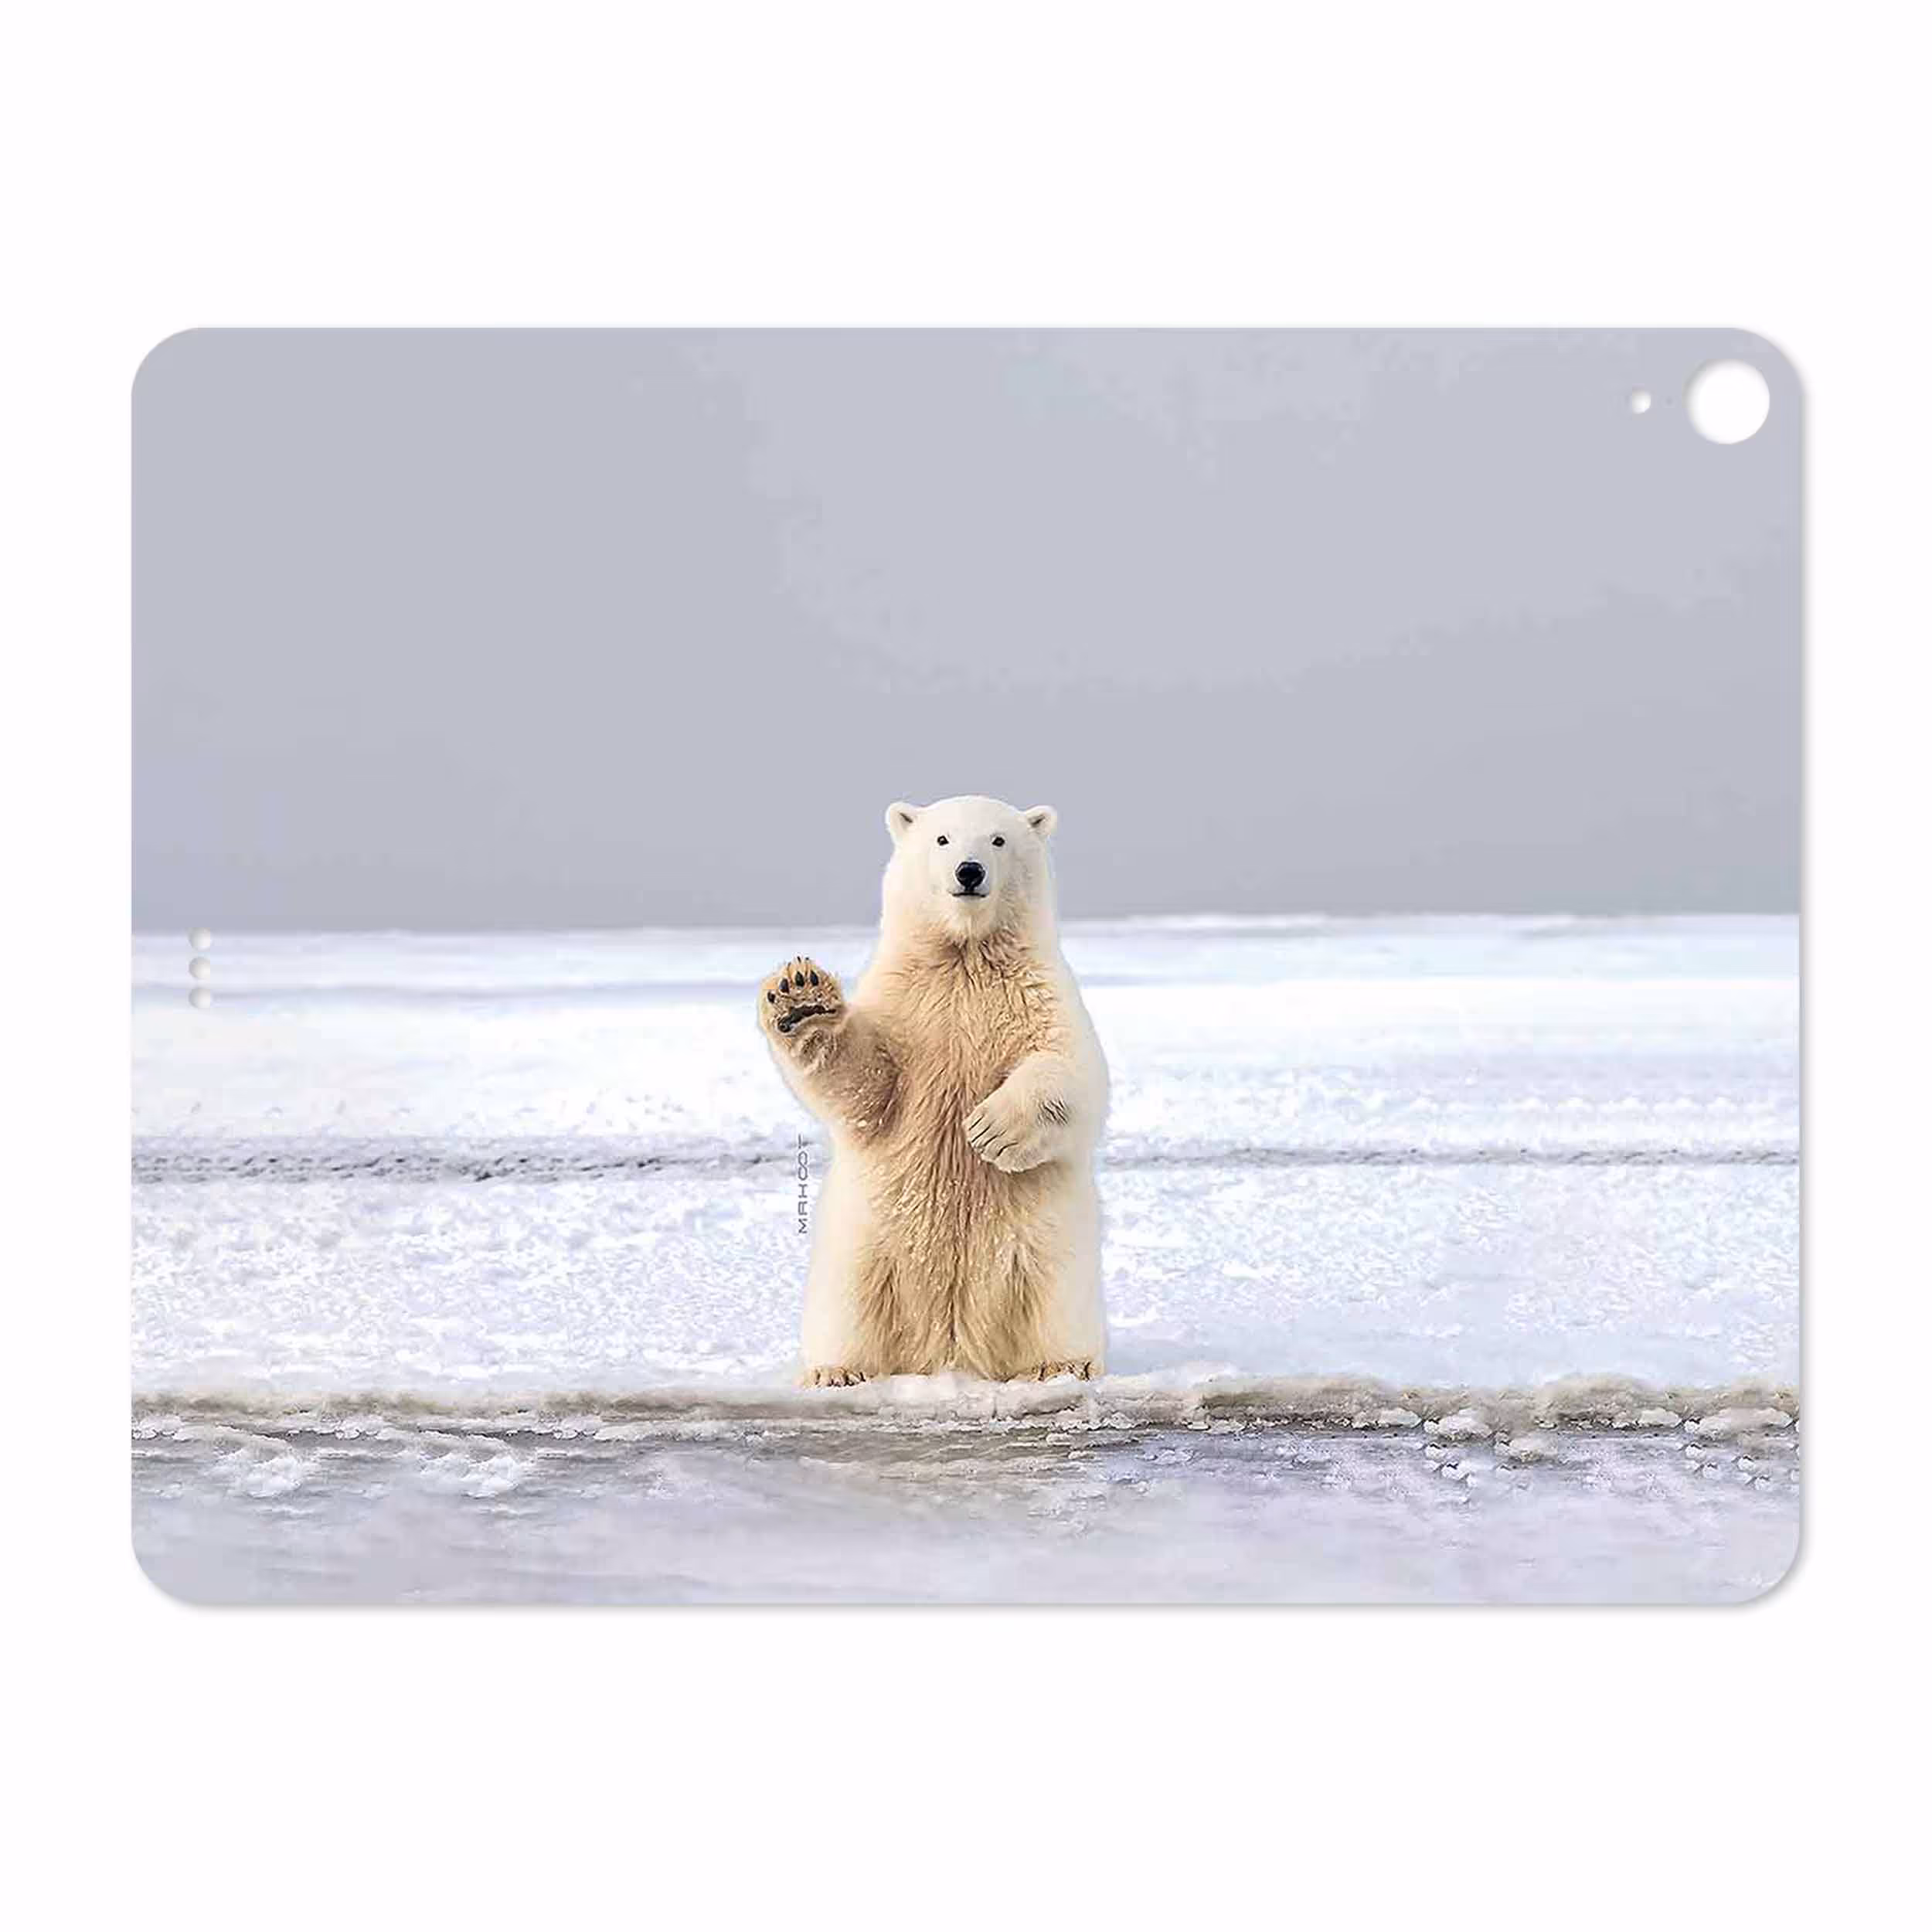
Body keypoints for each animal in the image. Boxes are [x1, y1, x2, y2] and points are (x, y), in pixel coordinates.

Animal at [758, 795, 1109, 1386]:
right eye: (942, 839)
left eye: (998, 840)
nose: (969, 872)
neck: (964, 956)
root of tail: (951, 1351)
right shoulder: (905, 1005)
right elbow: (867, 1085)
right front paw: (800, 1000)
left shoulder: (1040, 994)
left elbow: (1073, 1071)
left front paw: (990, 1129)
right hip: (863, 1246)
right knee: (848, 1305)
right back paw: (837, 1371)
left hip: (1048, 1246)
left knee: (1056, 1297)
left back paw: (1062, 1365)